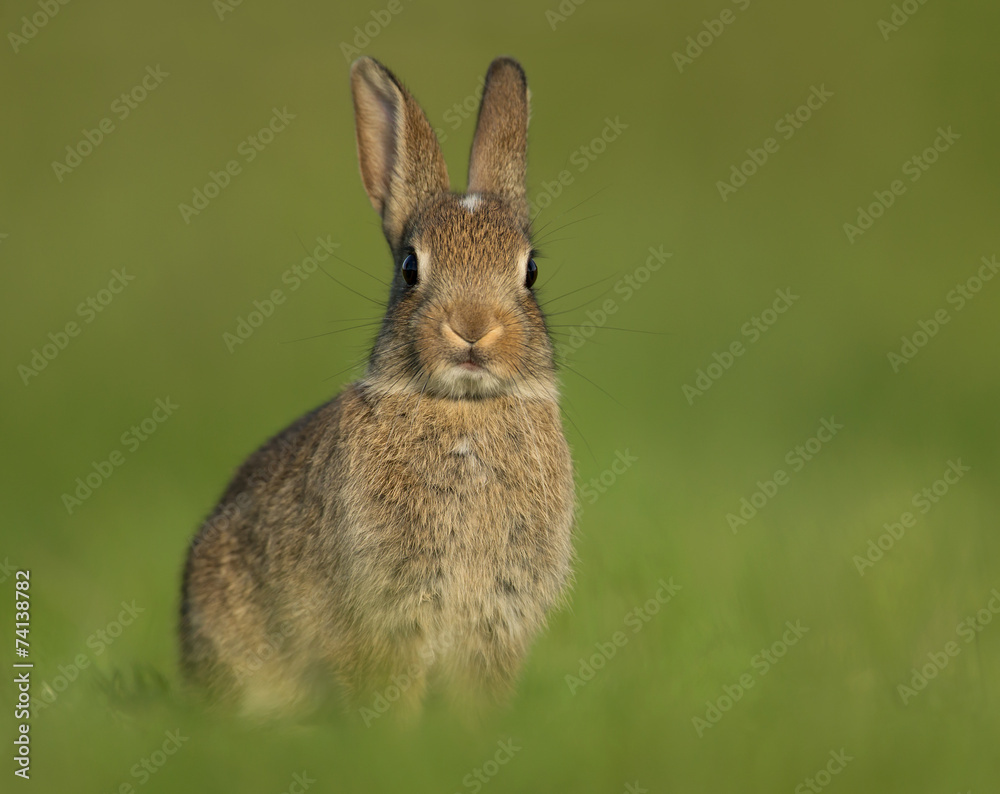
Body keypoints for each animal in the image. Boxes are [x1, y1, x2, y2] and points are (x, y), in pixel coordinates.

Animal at [179, 55, 575, 720]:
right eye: (411, 267)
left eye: (531, 270)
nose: (472, 327)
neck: (464, 411)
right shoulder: (382, 610)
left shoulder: (497, 617)